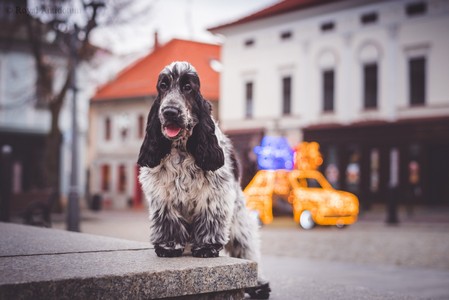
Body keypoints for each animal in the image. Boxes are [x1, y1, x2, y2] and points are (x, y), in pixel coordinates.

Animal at [136, 61, 270, 298]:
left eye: (188, 87)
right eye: (163, 86)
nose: (170, 111)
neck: (181, 148)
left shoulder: (214, 195)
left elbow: (210, 220)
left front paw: (206, 248)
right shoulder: (164, 196)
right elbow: (168, 222)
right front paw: (168, 247)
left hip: (240, 223)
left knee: (248, 250)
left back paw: (259, 286)